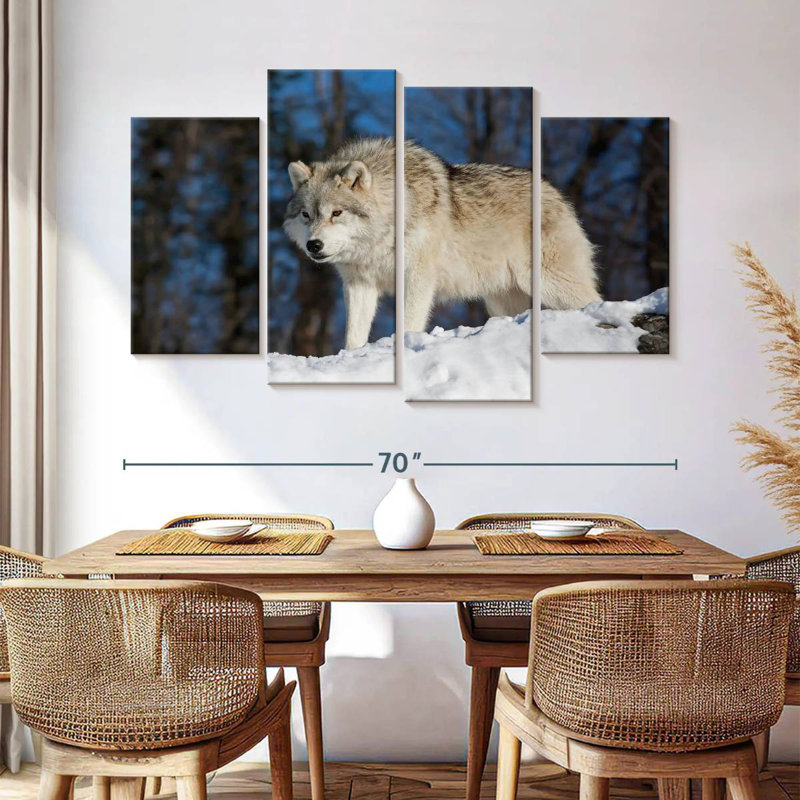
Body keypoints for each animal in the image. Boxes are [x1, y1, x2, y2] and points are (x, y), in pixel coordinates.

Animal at [283, 137, 600, 350]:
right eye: (306, 215)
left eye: (336, 213)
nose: (313, 245)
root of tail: (556, 194)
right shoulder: (359, 284)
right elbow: (354, 334)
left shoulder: (417, 277)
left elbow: (410, 321)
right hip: (502, 300)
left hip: (551, 284)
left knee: (593, 299)